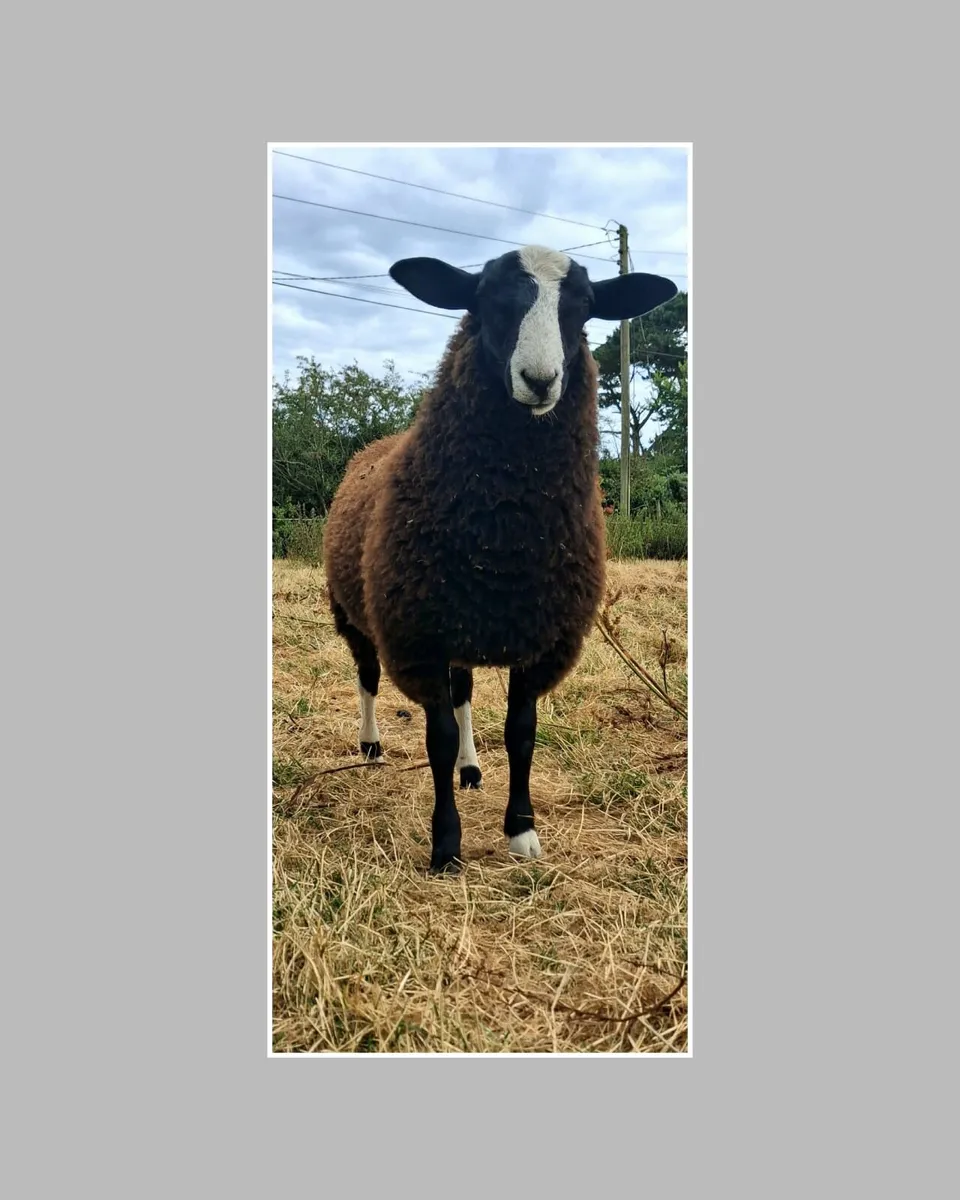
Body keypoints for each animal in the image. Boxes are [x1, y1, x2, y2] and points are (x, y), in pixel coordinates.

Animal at [323, 244, 677, 874]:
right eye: (486, 299)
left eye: (584, 307)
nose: (540, 380)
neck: (505, 536)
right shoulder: (421, 636)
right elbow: (436, 738)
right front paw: (446, 846)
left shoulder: (539, 639)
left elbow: (521, 732)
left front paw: (522, 831)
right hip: (357, 612)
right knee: (367, 677)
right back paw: (370, 746)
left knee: (464, 695)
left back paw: (471, 769)